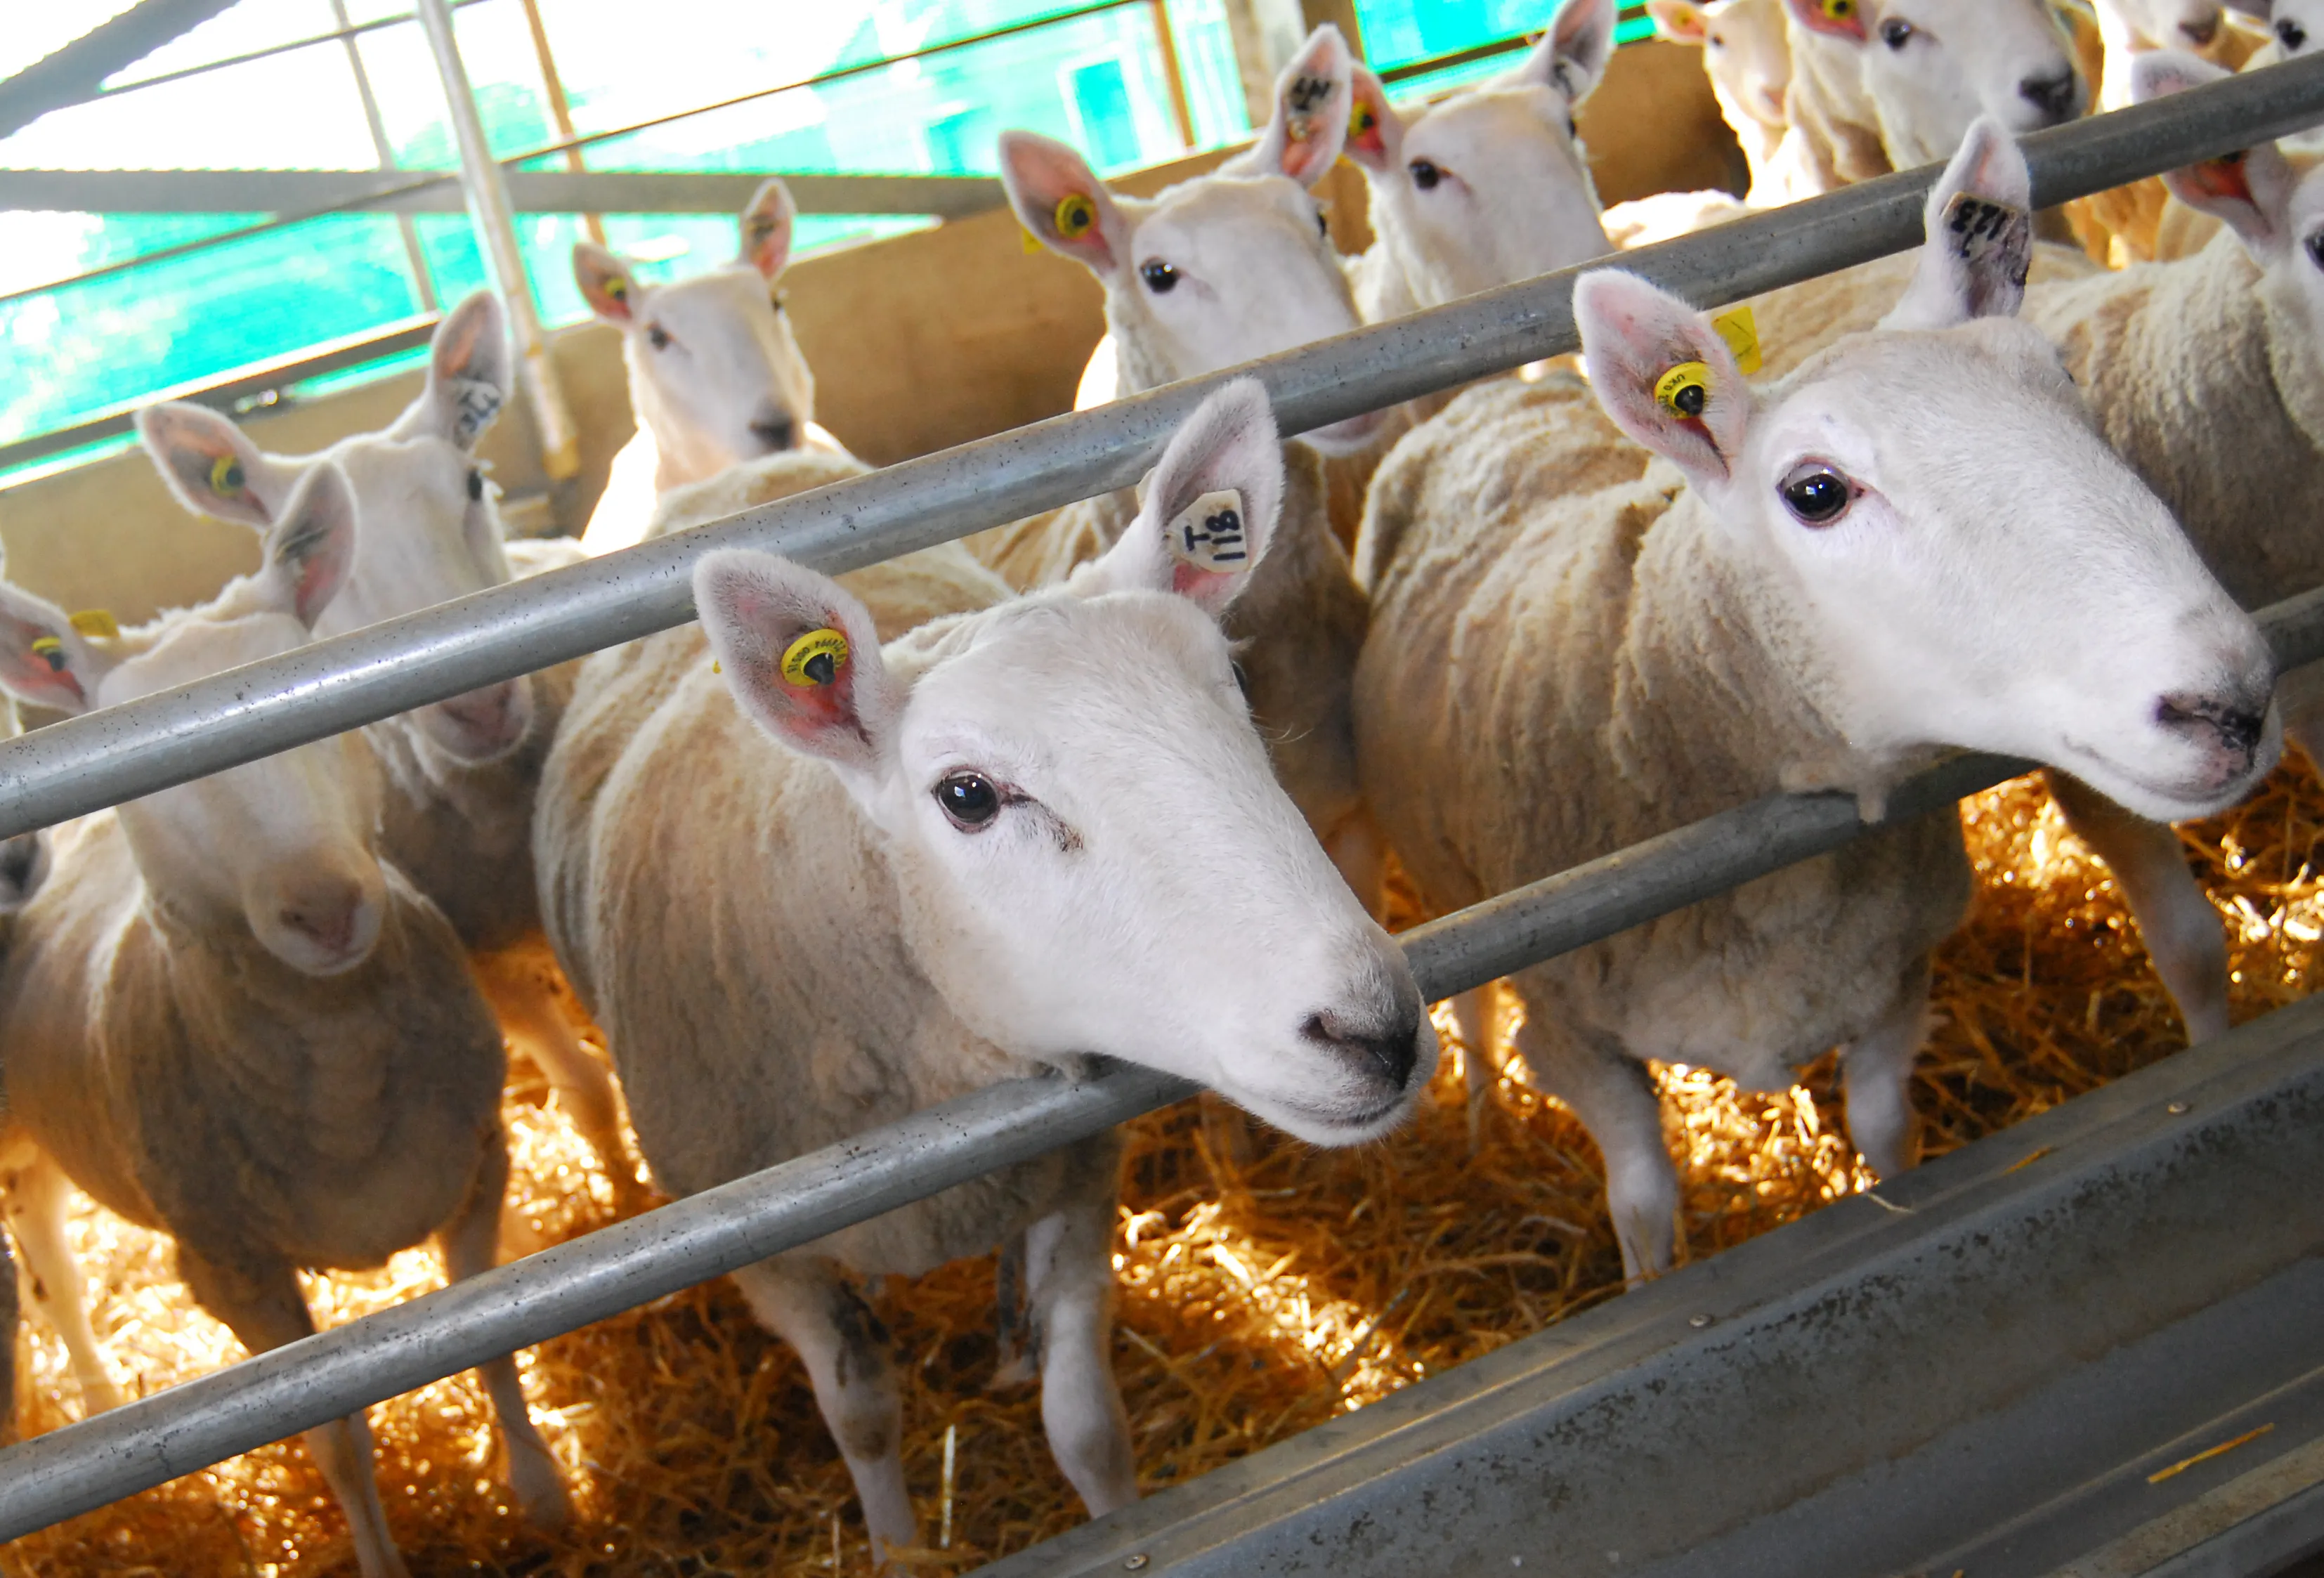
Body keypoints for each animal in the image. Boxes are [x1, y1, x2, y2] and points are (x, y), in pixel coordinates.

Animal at [0, 463, 566, 1577]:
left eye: (311, 702)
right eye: (142, 772)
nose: (325, 906)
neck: (340, 1069)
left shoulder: (479, 1163)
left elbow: (492, 1336)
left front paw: (540, 1491)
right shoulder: (230, 1269)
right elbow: (336, 1438)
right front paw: (381, 1556)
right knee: (49, 1266)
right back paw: (87, 1400)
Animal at [135, 293, 637, 1208]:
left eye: (470, 484)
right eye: (309, 554)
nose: (480, 700)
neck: (490, 805)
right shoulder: (481, 956)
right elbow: (585, 1088)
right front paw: (625, 1195)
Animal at [534, 380, 1437, 1565]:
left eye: (1237, 684)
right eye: (968, 795)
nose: (1377, 1029)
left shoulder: (1077, 1174)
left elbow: (1087, 1425)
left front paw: (1120, 1520)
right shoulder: (775, 1259)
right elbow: (865, 1418)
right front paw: (896, 1545)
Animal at [1354, 122, 2276, 1279]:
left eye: (2063, 379)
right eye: (1816, 492)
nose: (2231, 701)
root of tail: (1493, 394)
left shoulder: (1890, 978)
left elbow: (1885, 1131)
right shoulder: (1577, 1040)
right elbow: (1644, 1209)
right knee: (1475, 1012)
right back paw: (1479, 1124)